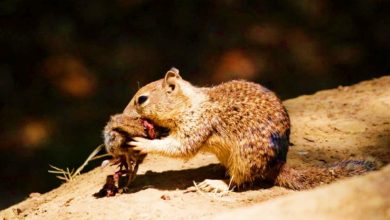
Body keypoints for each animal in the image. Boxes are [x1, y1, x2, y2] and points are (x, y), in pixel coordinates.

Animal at [123, 68, 376, 192]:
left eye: (141, 99)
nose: (123, 114)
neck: (190, 104)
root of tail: (277, 166)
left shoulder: (196, 125)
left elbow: (180, 147)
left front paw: (142, 143)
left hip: (245, 159)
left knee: (238, 182)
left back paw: (215, 184)